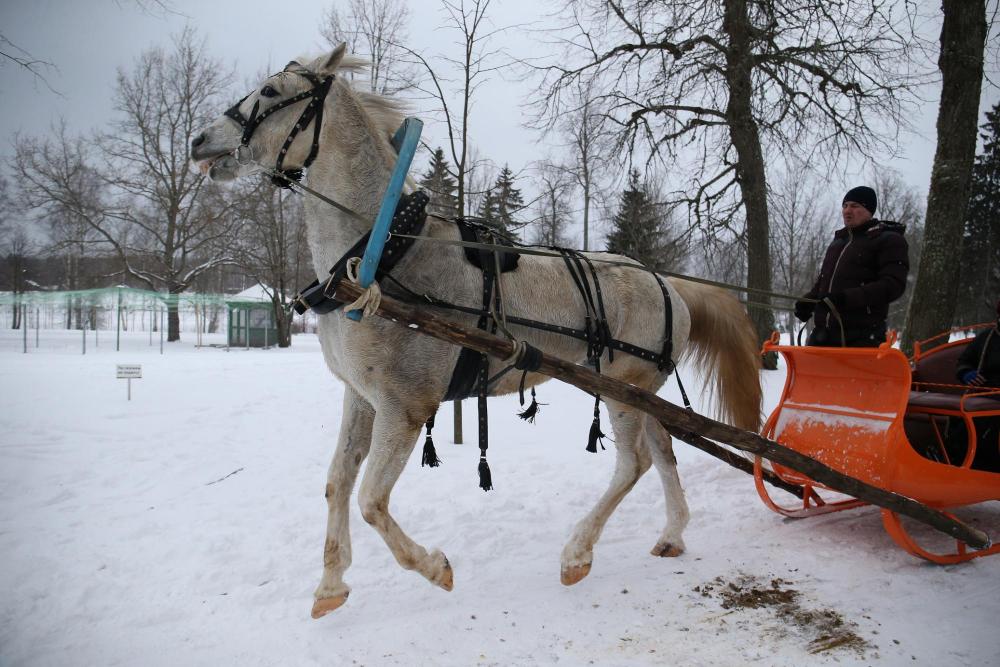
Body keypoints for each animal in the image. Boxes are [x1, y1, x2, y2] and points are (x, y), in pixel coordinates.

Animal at [190, 45, 763, 619]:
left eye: (270, 91)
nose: (198, 140)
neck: (381, 257)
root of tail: (668, 283)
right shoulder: (361, 396)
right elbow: (338, 482)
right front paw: (331, 585)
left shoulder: (405, 405)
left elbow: (371, 500)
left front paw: (433, 567)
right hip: (641, 391)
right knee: (664, 450)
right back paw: (673, 534)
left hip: (624, 388)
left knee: (634, 461)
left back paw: (577, 552)